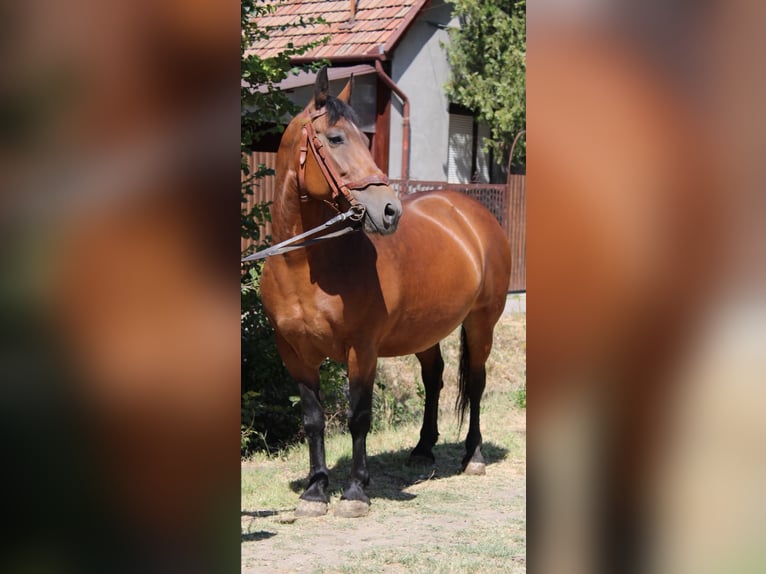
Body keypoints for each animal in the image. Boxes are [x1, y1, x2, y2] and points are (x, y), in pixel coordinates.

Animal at [260, 68, 512, 518]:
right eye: (335, 138)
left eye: (365, 139)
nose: (389, 210)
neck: (305, 267)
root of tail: (473, 213)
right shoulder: (294, 353)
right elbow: (313, 420)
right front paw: (315, 490)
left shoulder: (362, 350)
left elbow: (359, 416)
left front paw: (355, 492)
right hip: (425, 331)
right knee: (434, 378)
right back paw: (423, 449)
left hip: (482, 322)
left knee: (476, 383)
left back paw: (474, 456)